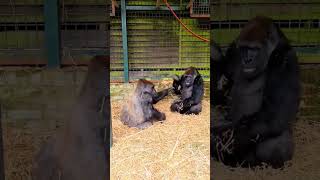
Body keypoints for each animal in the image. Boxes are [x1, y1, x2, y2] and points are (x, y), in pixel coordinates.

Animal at [211, 16, 302, 168]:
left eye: (254, 49)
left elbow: (275, 116)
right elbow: (219, 95)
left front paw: (222, 138)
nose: (247, 59)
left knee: (278, 140)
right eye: (244, 48)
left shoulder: (286, 62)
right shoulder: (234, 49)